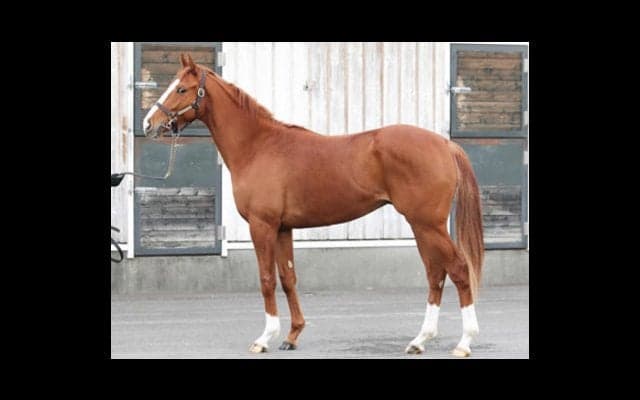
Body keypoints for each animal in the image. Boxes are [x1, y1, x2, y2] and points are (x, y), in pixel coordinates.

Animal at [143, 53, 484, 357]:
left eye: (181, 89)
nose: (148, 124)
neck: (257, 146)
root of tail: (445, 144)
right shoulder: (283, 229)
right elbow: (288, 279)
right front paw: (291, 336)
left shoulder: (262, 226)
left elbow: (266, 280)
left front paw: (264, 338)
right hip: (421, 226)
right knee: (435, 274)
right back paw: (419, 340)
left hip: (428, 225)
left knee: (458, 269)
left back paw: (464, 342)